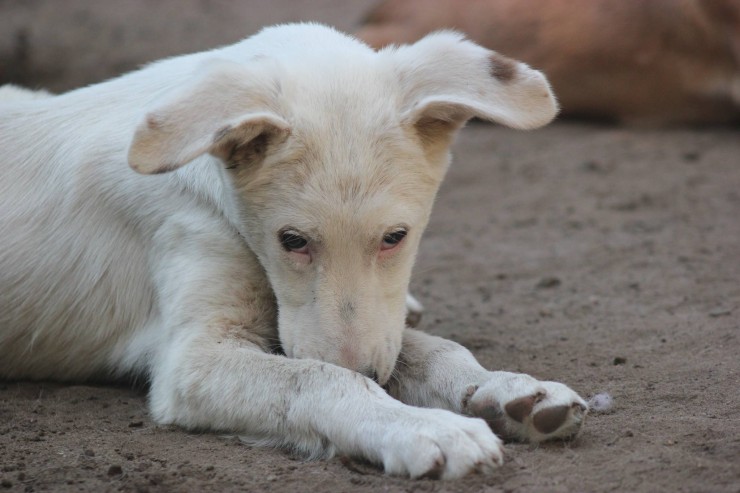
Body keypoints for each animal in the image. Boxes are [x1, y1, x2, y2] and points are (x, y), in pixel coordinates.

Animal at [1, 23, 588, 476]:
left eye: (395, 237)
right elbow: (321, 378)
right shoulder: (193, 360)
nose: (372, 373)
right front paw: (427, 427)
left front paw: (509, 390)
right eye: (292, 241)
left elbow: (431, 349)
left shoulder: (368, 324)